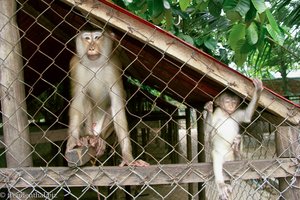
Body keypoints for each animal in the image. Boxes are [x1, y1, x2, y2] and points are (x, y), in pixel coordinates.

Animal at [66, 29, 149, 167]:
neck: (94, 64)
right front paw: (72, 141)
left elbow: (117, 104)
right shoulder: (75, 65)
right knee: (85, 99)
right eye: (87, 38)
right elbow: (78, 101)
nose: (92, 48)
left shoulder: (113, 66)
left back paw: (100, 139)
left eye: (97, 37)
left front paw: (128, 157)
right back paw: (89, 136)